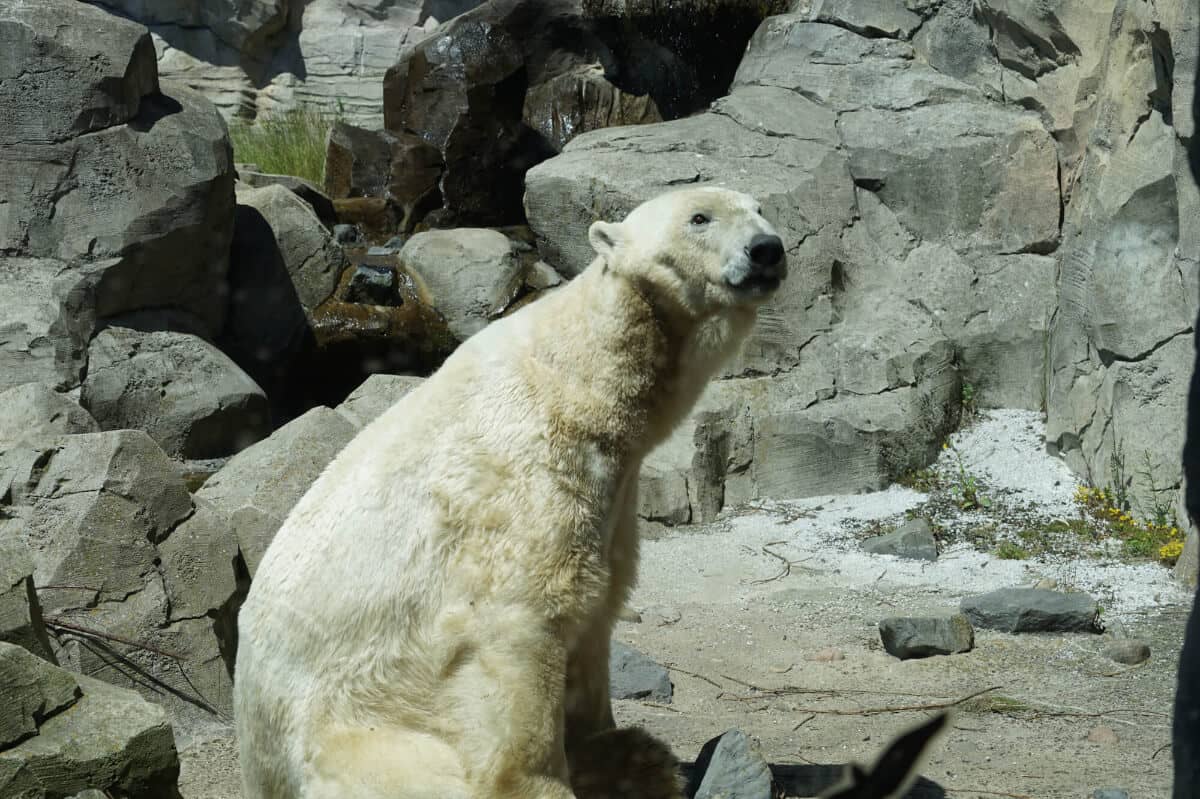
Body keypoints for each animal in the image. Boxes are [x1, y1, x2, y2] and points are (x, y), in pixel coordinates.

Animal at [232, 188, 787, 796]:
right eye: (699, 218)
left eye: (759, 208)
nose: (767, 249)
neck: (576, 381)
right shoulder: (521, 492)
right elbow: (520, 628)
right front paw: (550, 779)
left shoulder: (609, 500)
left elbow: (597, 614)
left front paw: (608, 746)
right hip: (354, 732)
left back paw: (640, 756)